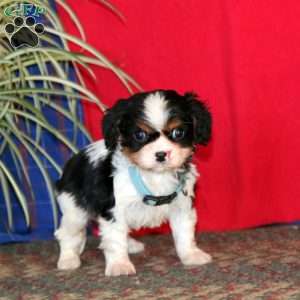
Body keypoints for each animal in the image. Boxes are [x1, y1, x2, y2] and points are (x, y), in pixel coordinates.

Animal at [55, 89, 212, 276]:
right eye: (140, 135)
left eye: (178, 132)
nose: (161, 154)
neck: (154, 175)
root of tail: (72, 162)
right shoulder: (114, 209)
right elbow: (115, 239)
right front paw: (119, 265)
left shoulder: (181, 205)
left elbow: (184, 233)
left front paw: (191, 255)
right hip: (74, 210)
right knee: (68, 233)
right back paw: (68, 259)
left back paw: (130, 245)